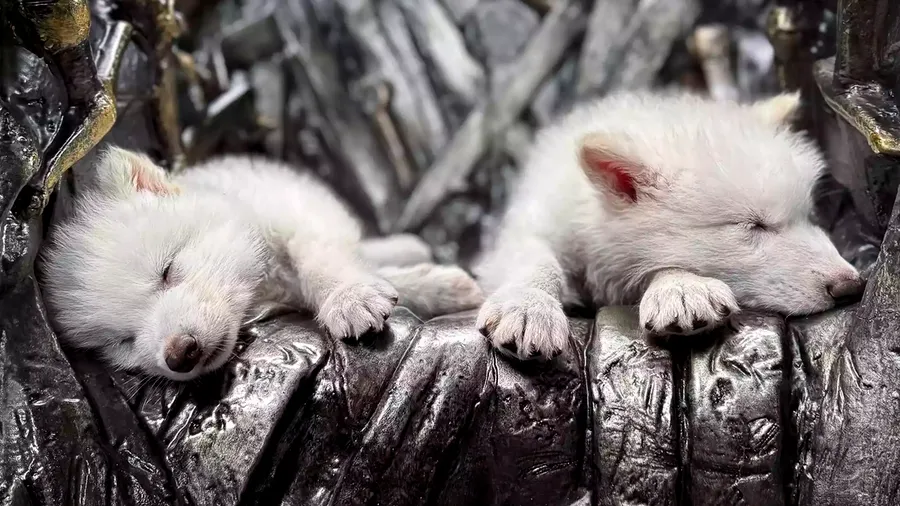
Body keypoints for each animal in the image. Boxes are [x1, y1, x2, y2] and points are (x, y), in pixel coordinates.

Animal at [39, 149, 484, 380]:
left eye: (167, 270)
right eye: (123, 341)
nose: (179, 354)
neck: (261, 288)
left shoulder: (299, 217)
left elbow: (322, 260)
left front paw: (349, 297)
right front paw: (436, 287)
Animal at [474, 90, 864, 360]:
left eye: (808, 217)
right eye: (754, 225)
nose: (852, 286)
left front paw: (681, 288)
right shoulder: (532, 224)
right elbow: (536, 259)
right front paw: (528, 307)